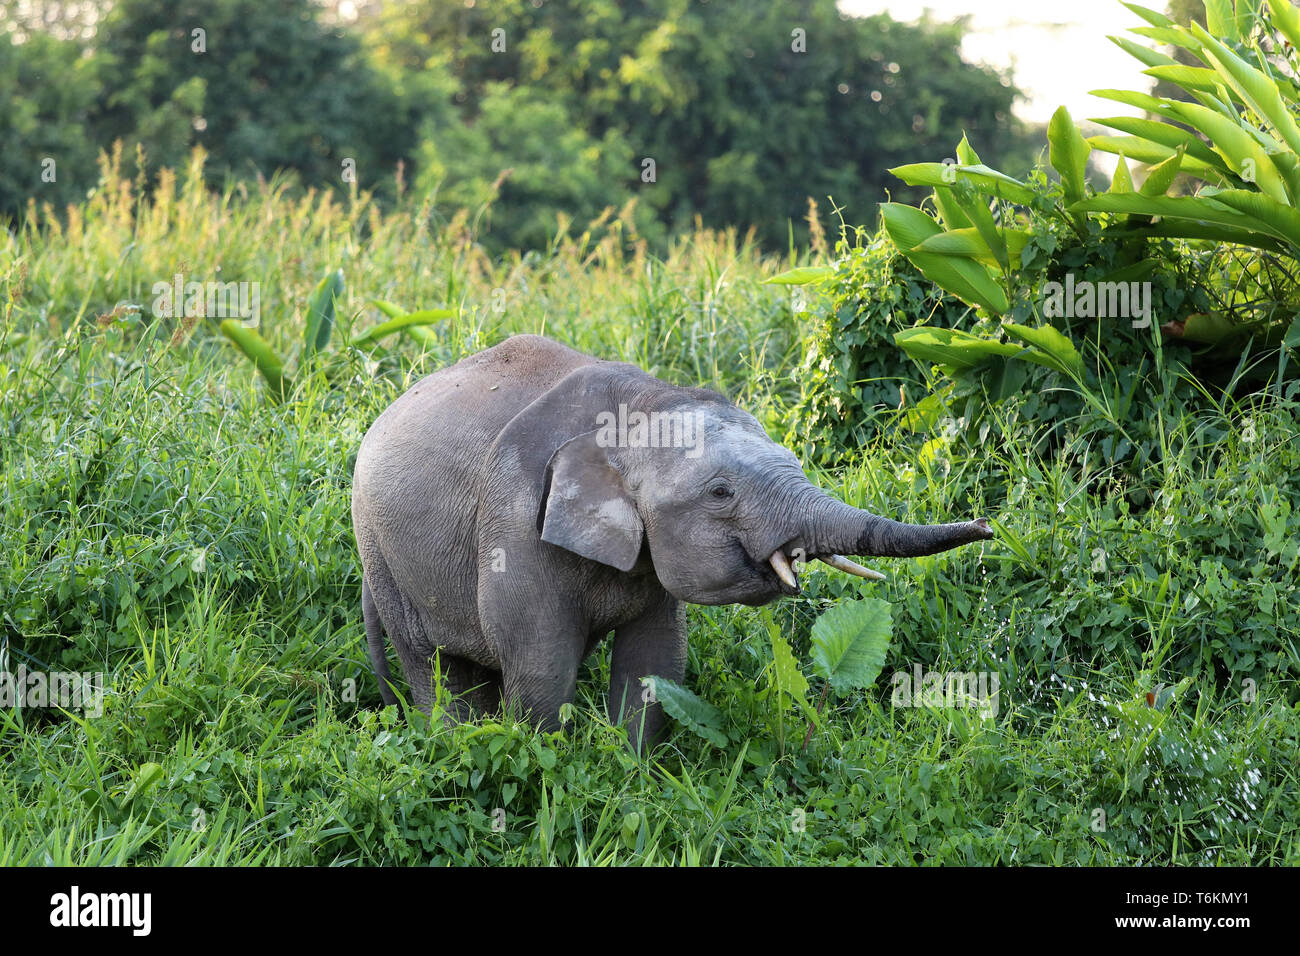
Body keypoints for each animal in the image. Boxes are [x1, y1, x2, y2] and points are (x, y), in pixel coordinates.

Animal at [351, 332, 987, 749]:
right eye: (721, 493)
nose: (986, 525)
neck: (640, 405)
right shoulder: (515, 524)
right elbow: (540, 666)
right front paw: (547, 767)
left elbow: (655, 661)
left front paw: (630, 769)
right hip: (382, 555)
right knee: (434, 667)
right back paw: (451, 744)